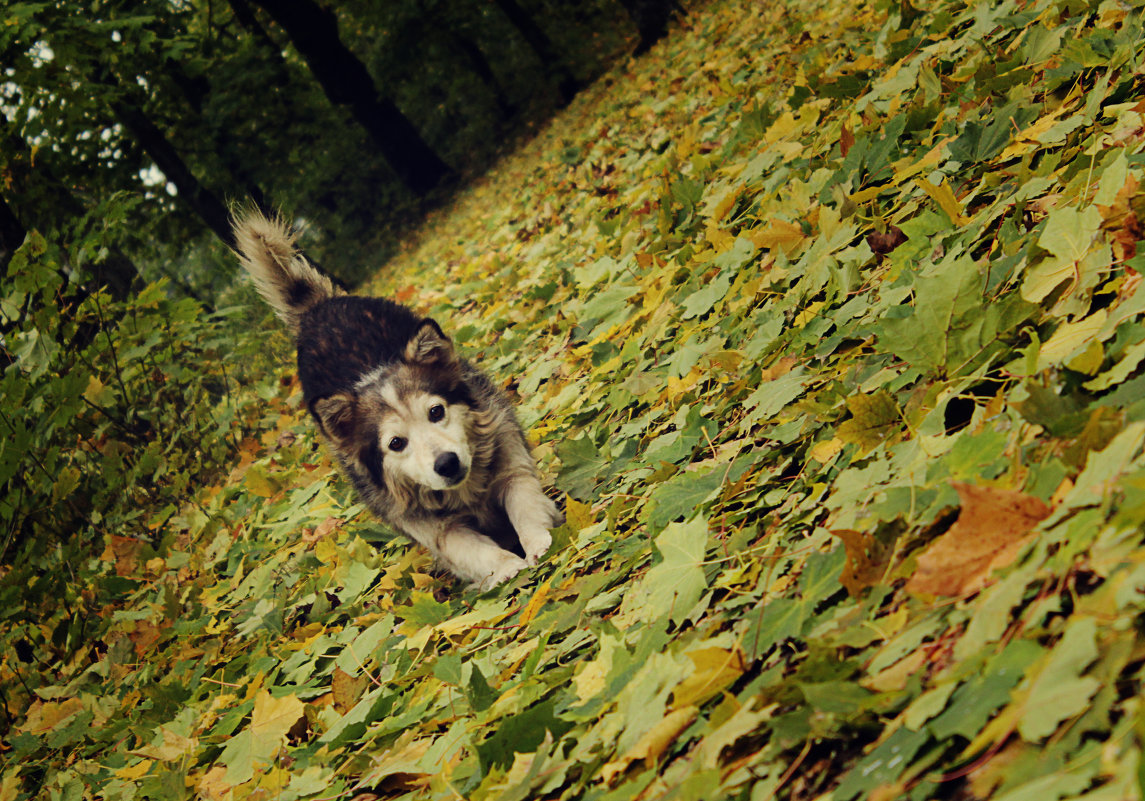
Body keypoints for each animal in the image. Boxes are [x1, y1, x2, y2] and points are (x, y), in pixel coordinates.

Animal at [230, 211, 561, 590]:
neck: (464, 490)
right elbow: (471, 550)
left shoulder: (509, 460)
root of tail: (318, 307)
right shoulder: (432, 526)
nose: (447, 464)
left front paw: (539, 543)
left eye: (436, 412)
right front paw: (506, 568)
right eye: (396, 443)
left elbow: (525, 503)